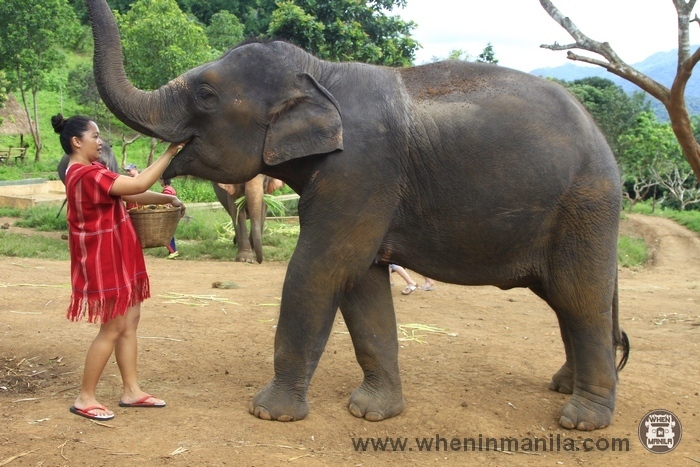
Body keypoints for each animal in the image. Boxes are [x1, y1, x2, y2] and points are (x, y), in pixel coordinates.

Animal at [86, 0, 628, 434]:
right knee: (566, 300)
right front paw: (372, 412)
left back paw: (583, 419)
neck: (320, 72)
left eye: (205, 95)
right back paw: (563, 386)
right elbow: (362, 284)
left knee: (580, 297)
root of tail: (603, 140)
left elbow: (320, 270)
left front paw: (269, 413)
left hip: (586, 203)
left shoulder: (361, 171)